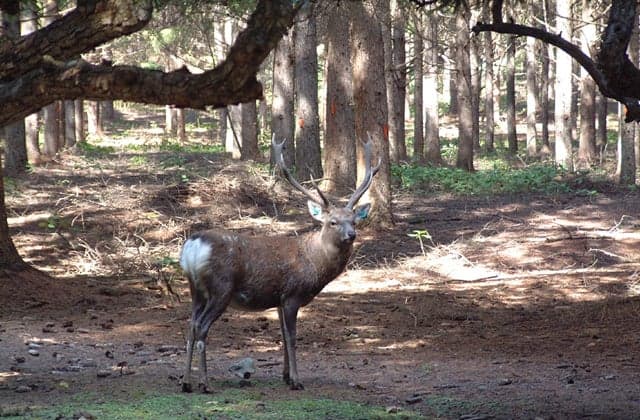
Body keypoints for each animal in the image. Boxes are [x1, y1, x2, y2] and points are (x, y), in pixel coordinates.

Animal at [179, 135, 380, 393]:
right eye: (333, 222)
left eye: (354, 220)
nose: (351, 235)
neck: (314, 262)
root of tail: (193, 246)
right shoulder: (292, 294)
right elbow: (292, 337)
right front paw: (296, 380)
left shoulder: (278, 300)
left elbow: (283, 335)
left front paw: (285, 375)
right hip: (220, 288)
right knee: (202, 327)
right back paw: (204, 384)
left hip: (195, 290)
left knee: (190, 326)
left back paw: (186, 383)